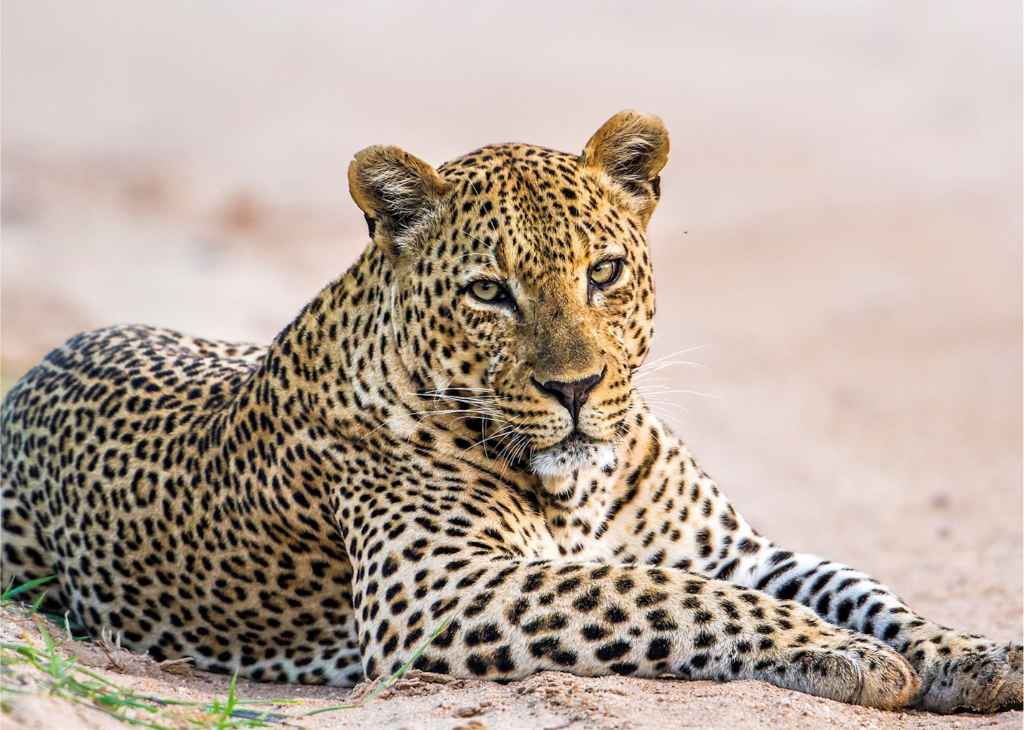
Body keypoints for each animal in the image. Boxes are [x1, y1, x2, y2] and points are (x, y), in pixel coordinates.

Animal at [2, 111, 1020, 714]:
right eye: (490, 292)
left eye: (602, 272)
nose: (573, 389)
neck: (585, 489)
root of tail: (44, 358)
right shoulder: (439, 591)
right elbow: (663, 593)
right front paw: (840, 652)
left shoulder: (735, 549)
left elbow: (863, 587)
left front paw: (974, 655)